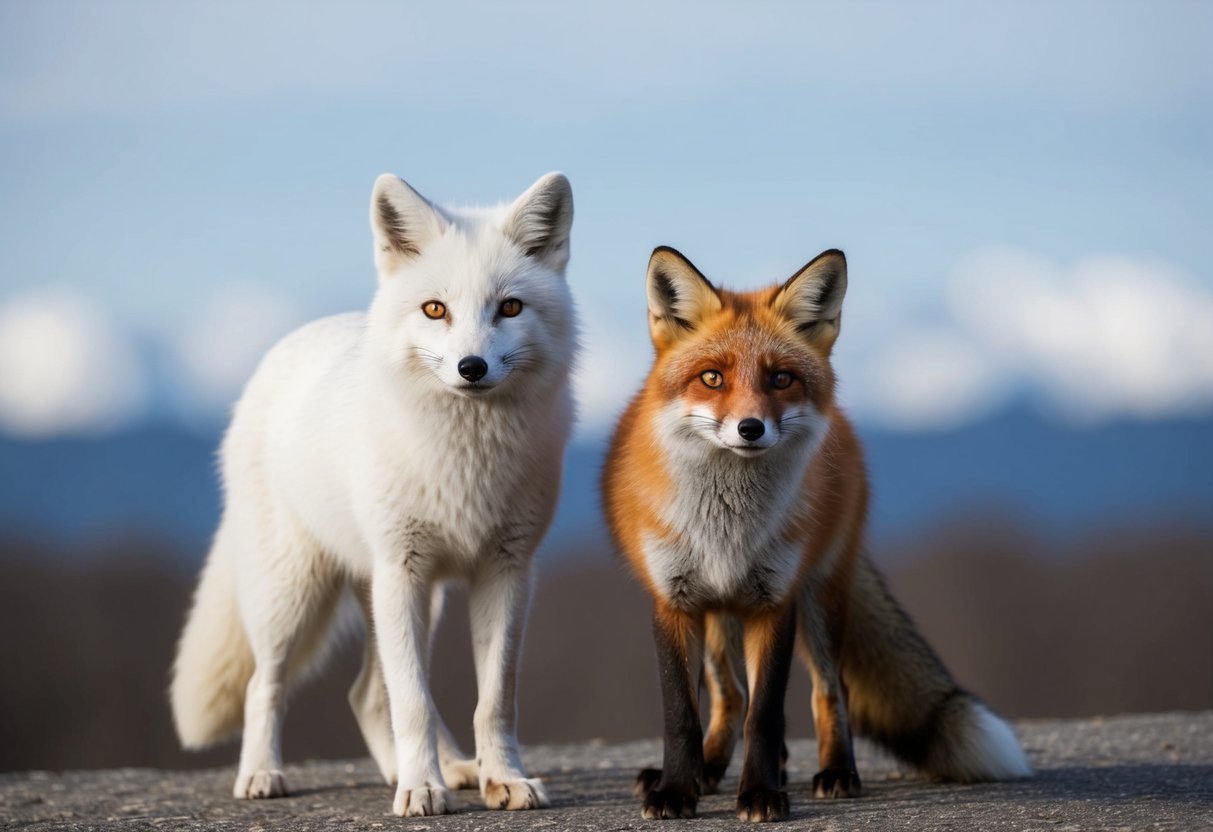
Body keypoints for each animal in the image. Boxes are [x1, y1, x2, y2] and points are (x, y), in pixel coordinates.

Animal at [169, 171, 578, 817]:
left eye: (510, 307)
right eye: (435, 309)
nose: (471, 367)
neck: (465, 459)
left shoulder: (507, 571)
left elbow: (493, 700)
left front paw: (502, 779)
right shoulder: (401, 567)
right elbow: (412, 702)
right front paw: (423, 789)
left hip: (411, 598)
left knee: (367, 695)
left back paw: (441, 770)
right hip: (296, 595)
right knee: (268, 685)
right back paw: (264, 775)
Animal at [602, 246, 1031, 822]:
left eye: (781, 379)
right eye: (712, 378)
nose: (751, 428)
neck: (727, 529)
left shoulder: (775, 601)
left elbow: (766, 715)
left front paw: (761, 794)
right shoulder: (672, 602)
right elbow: (681, 714)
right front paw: (675, 790)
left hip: (820, 597)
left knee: (830, 690)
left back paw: (835, 772)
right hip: (720, 614)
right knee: (730, 695)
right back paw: (709, 771)